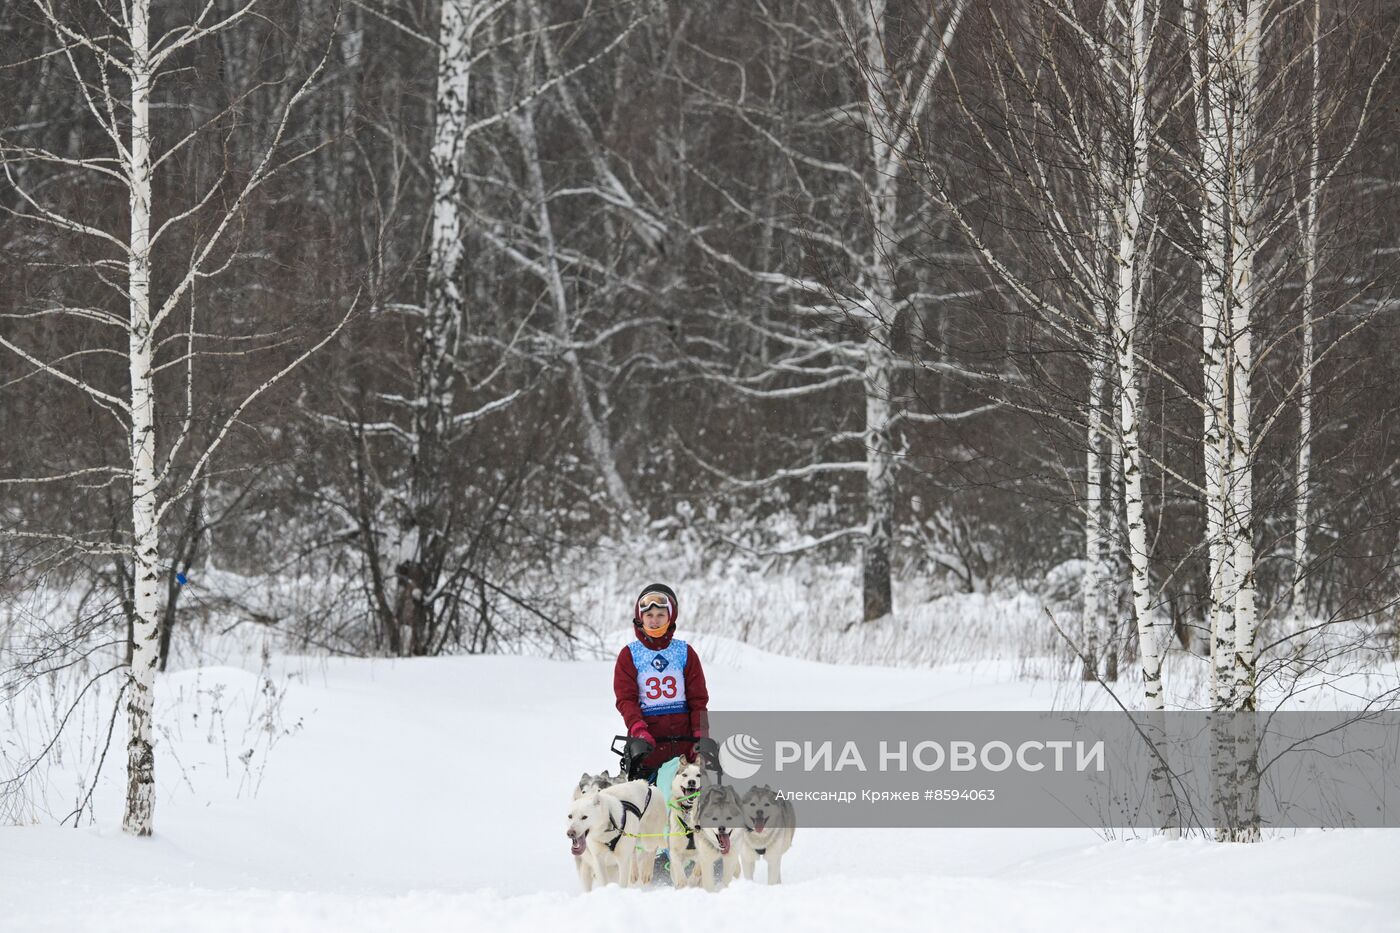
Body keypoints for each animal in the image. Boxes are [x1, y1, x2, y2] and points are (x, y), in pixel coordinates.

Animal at [663, 750, 711, 885]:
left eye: (698, 775)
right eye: (685, 775)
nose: (691, 782)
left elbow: (697, 870)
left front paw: (692, 881)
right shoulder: (674, 852)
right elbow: (679, 875)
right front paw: (683, 884)